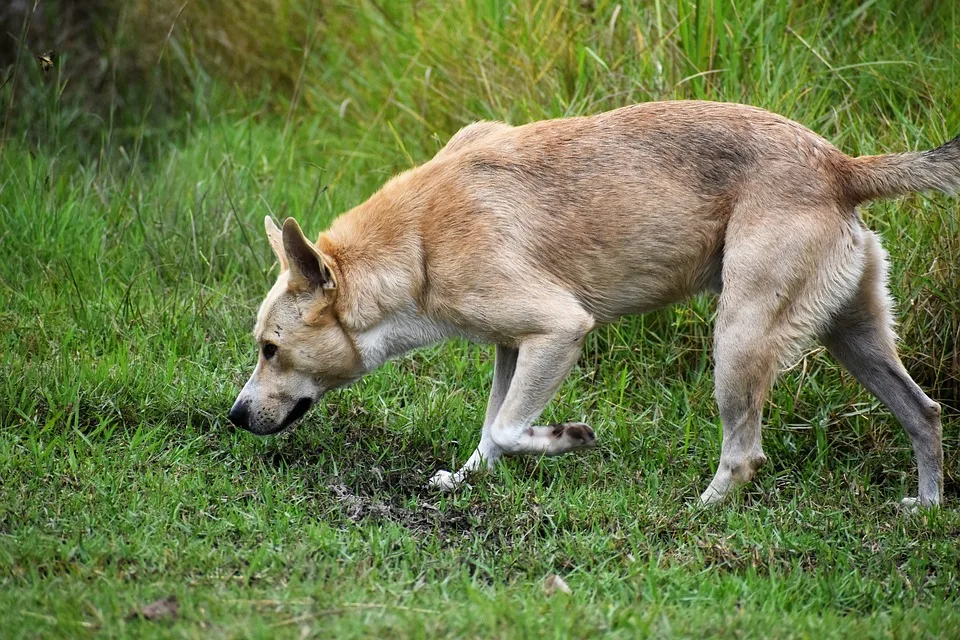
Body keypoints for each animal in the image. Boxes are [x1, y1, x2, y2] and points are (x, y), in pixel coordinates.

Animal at [225, 100, 952, 508]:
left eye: (270, 349)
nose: (233, 416)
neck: (419, 240)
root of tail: (840, 166)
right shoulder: (512, 348)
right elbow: (490, 430)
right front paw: (465, 482)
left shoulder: (561, 329)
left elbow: (507, 429)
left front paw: (563, 438)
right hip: (853, 338)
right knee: (925, 413)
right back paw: (926, 506)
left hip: (738, 341)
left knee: (744, 455)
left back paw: (699, 511)